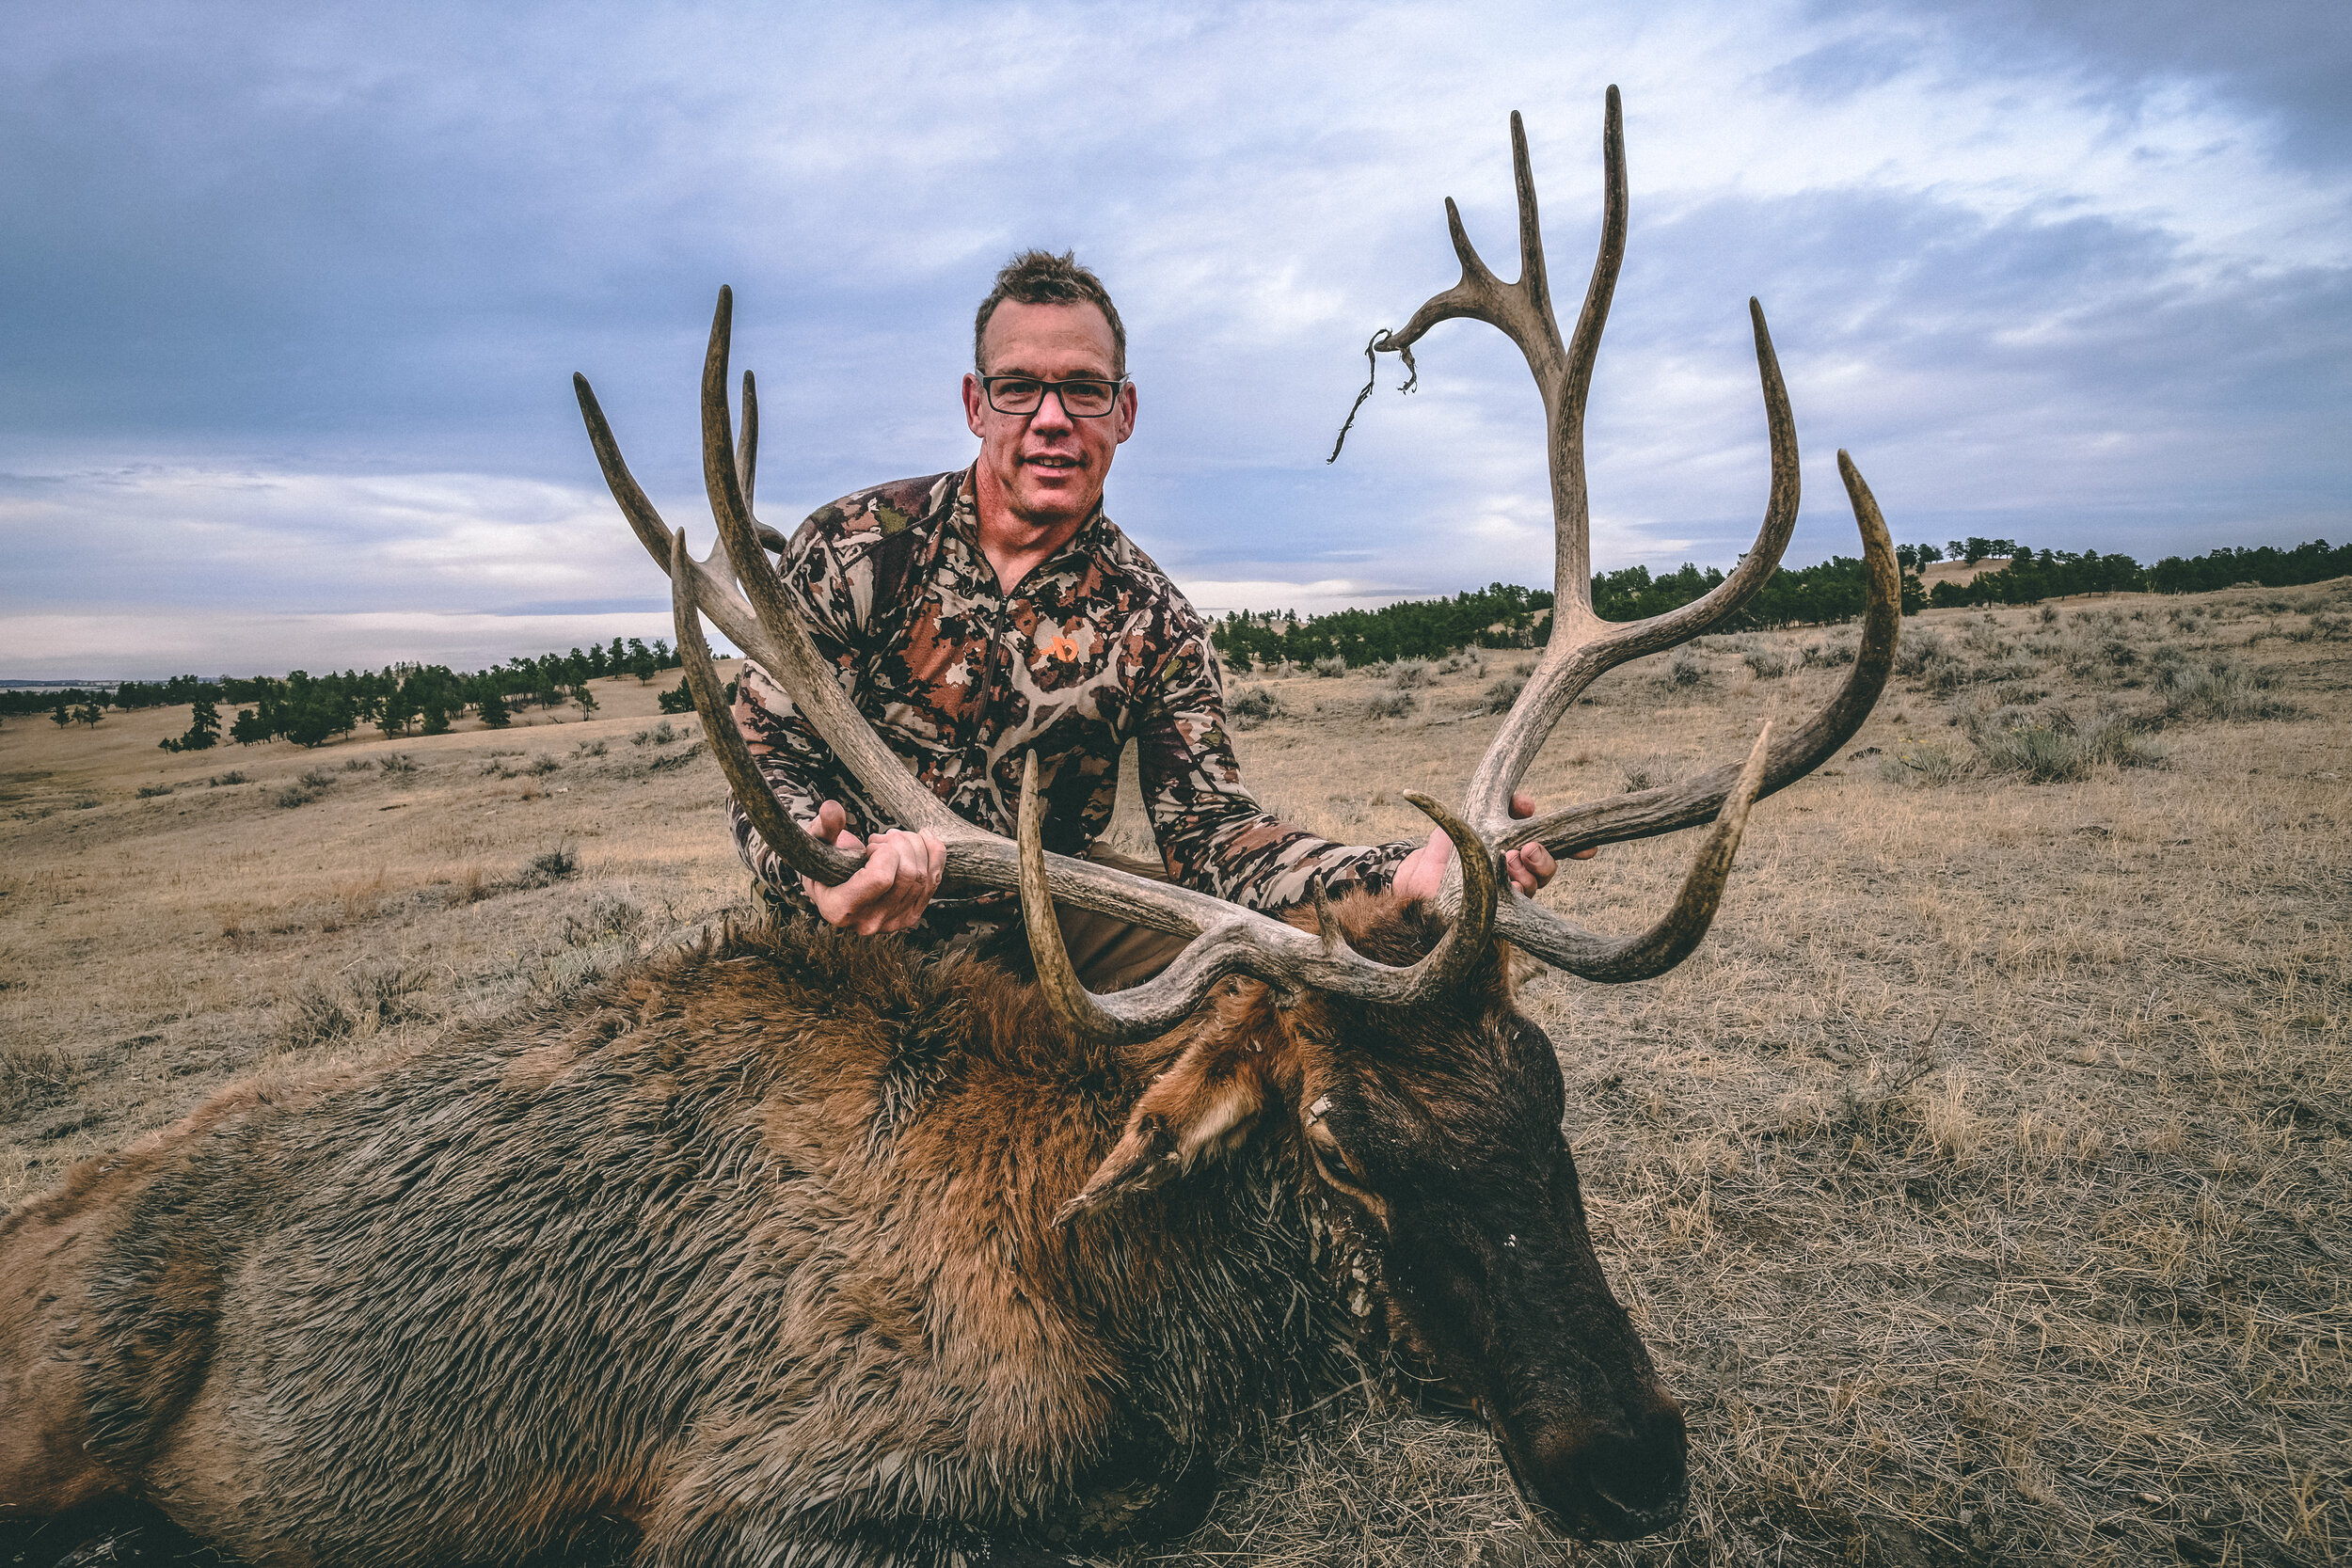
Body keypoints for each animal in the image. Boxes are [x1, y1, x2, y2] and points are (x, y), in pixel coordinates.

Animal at [0, 89, 1897, 1568]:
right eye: (1341, 1142)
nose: (1631, 1461)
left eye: (1549, 1087)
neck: (1119, 1275)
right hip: (67, 1382)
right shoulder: (762, 1490)